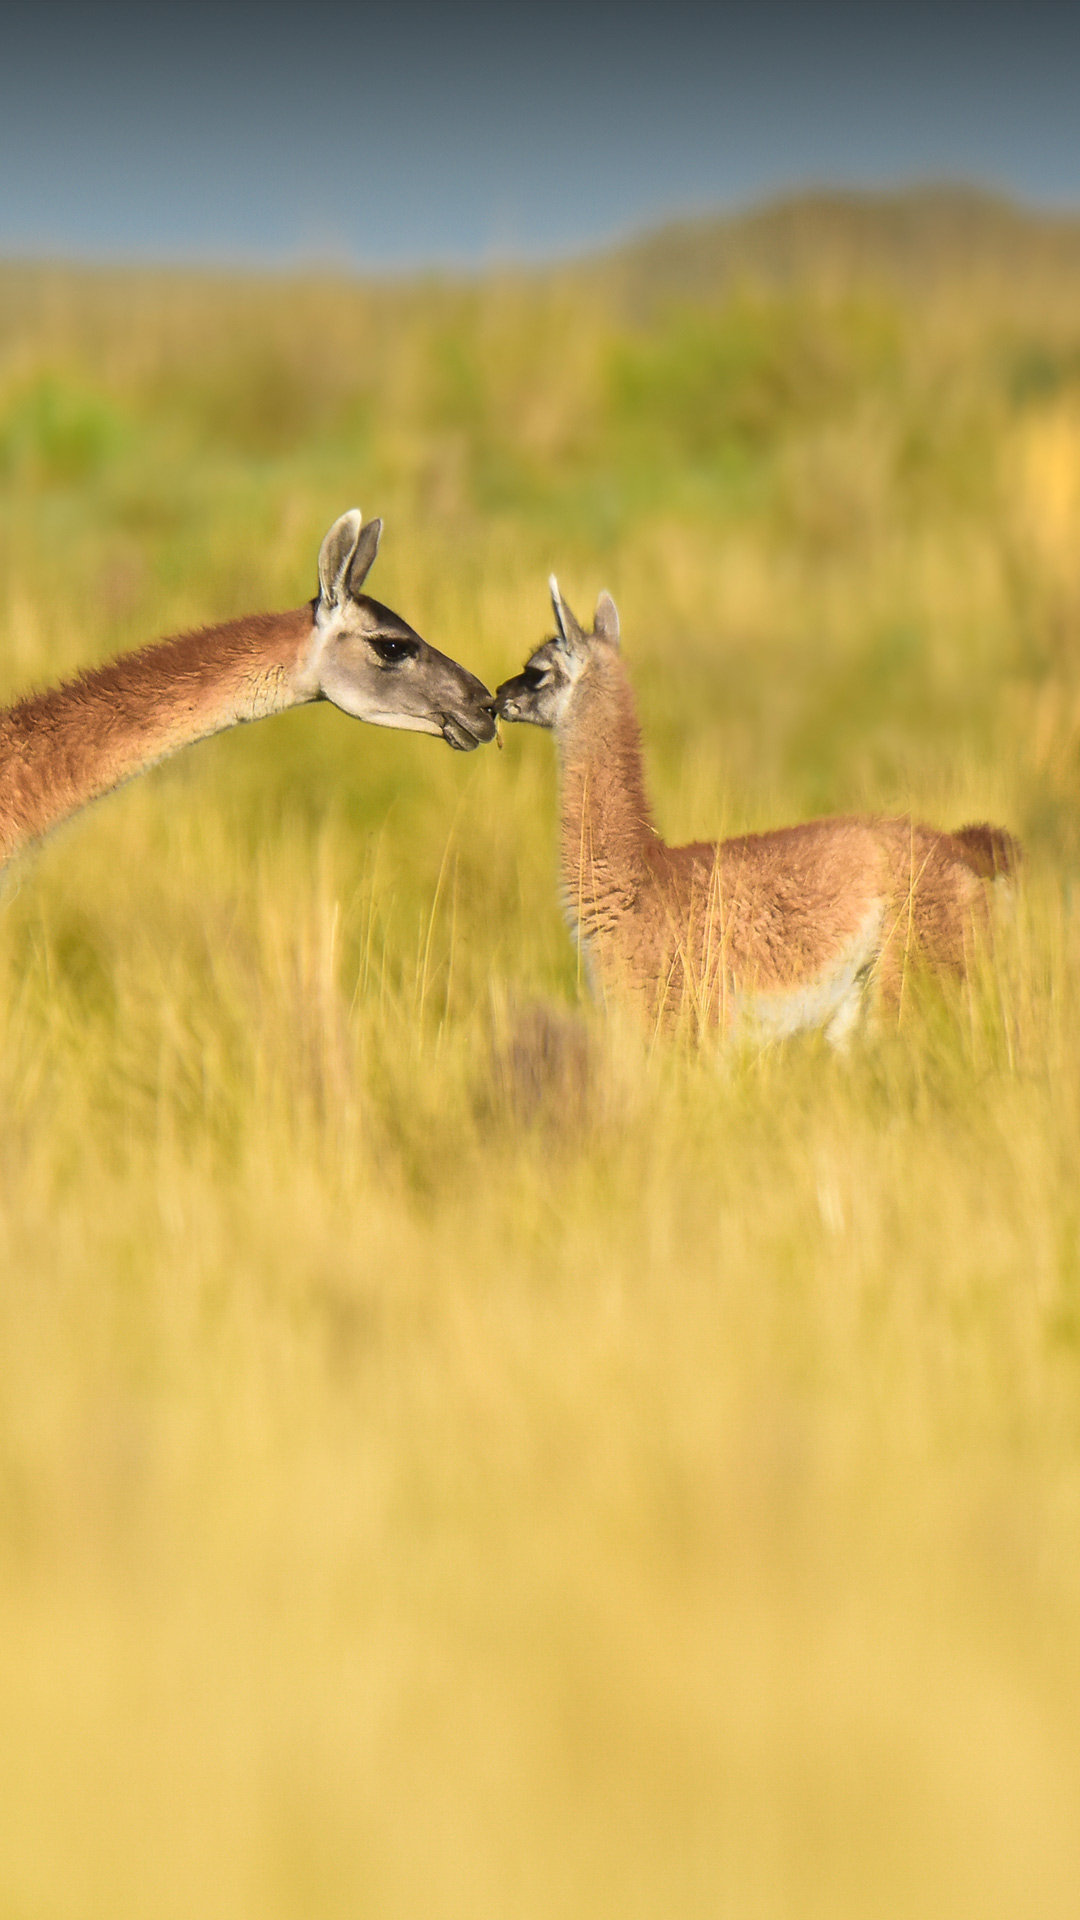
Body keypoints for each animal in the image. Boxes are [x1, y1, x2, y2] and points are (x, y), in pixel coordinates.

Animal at [495, 580, 1017, 1047]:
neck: (639, 879)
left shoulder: (687, 1018)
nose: (497, 698)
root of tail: (961, 848)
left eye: (536, 671)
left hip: (921, 969)